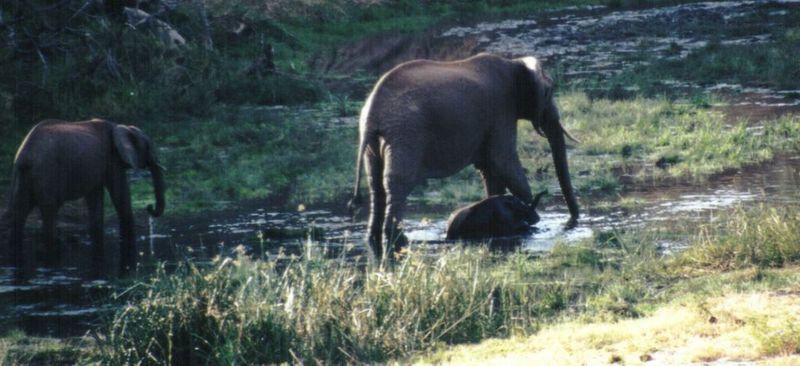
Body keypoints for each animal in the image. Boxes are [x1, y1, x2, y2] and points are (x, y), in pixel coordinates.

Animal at [0, 119, 166, 278]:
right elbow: (120, 196)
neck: (122, 127)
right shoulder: (113, 160)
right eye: (149, 148)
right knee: (49, 211)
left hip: (22, 177)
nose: (149, 207)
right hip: (47, 174)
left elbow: (95, 199)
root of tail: (24, 157)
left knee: (19, 213)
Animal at [346, 53, 580, 262]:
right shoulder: (501, 109)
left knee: (376, 185)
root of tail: (372, 114)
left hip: (378, 142)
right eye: (550, 92)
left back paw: (374, 237)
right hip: (405, 134)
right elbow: (503, 162)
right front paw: (527, 216)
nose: (572, 221)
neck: (514, 63)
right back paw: (396, 239)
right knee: (398, 183)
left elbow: (490, 170)